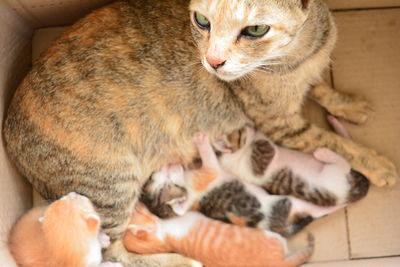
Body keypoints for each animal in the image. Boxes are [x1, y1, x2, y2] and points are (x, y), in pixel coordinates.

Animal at [216, 126, 368, 207]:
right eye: (240, 131)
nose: (248, 126)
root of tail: (347, 196)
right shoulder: (257, 165)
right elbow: (265, 145)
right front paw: (257, 133)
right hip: (333, 176)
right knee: (345, 164)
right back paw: (324, 153)